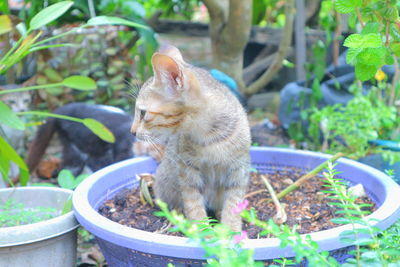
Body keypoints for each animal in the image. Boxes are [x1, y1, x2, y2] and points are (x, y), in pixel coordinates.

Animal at [131, 45, 250, 232]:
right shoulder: (187, 173)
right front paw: (204, 233)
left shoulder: (238, 170)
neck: (208, 135)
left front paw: (230, 231)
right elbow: (194, 206)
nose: (132, 131)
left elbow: (233, 204)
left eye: (143, 113)